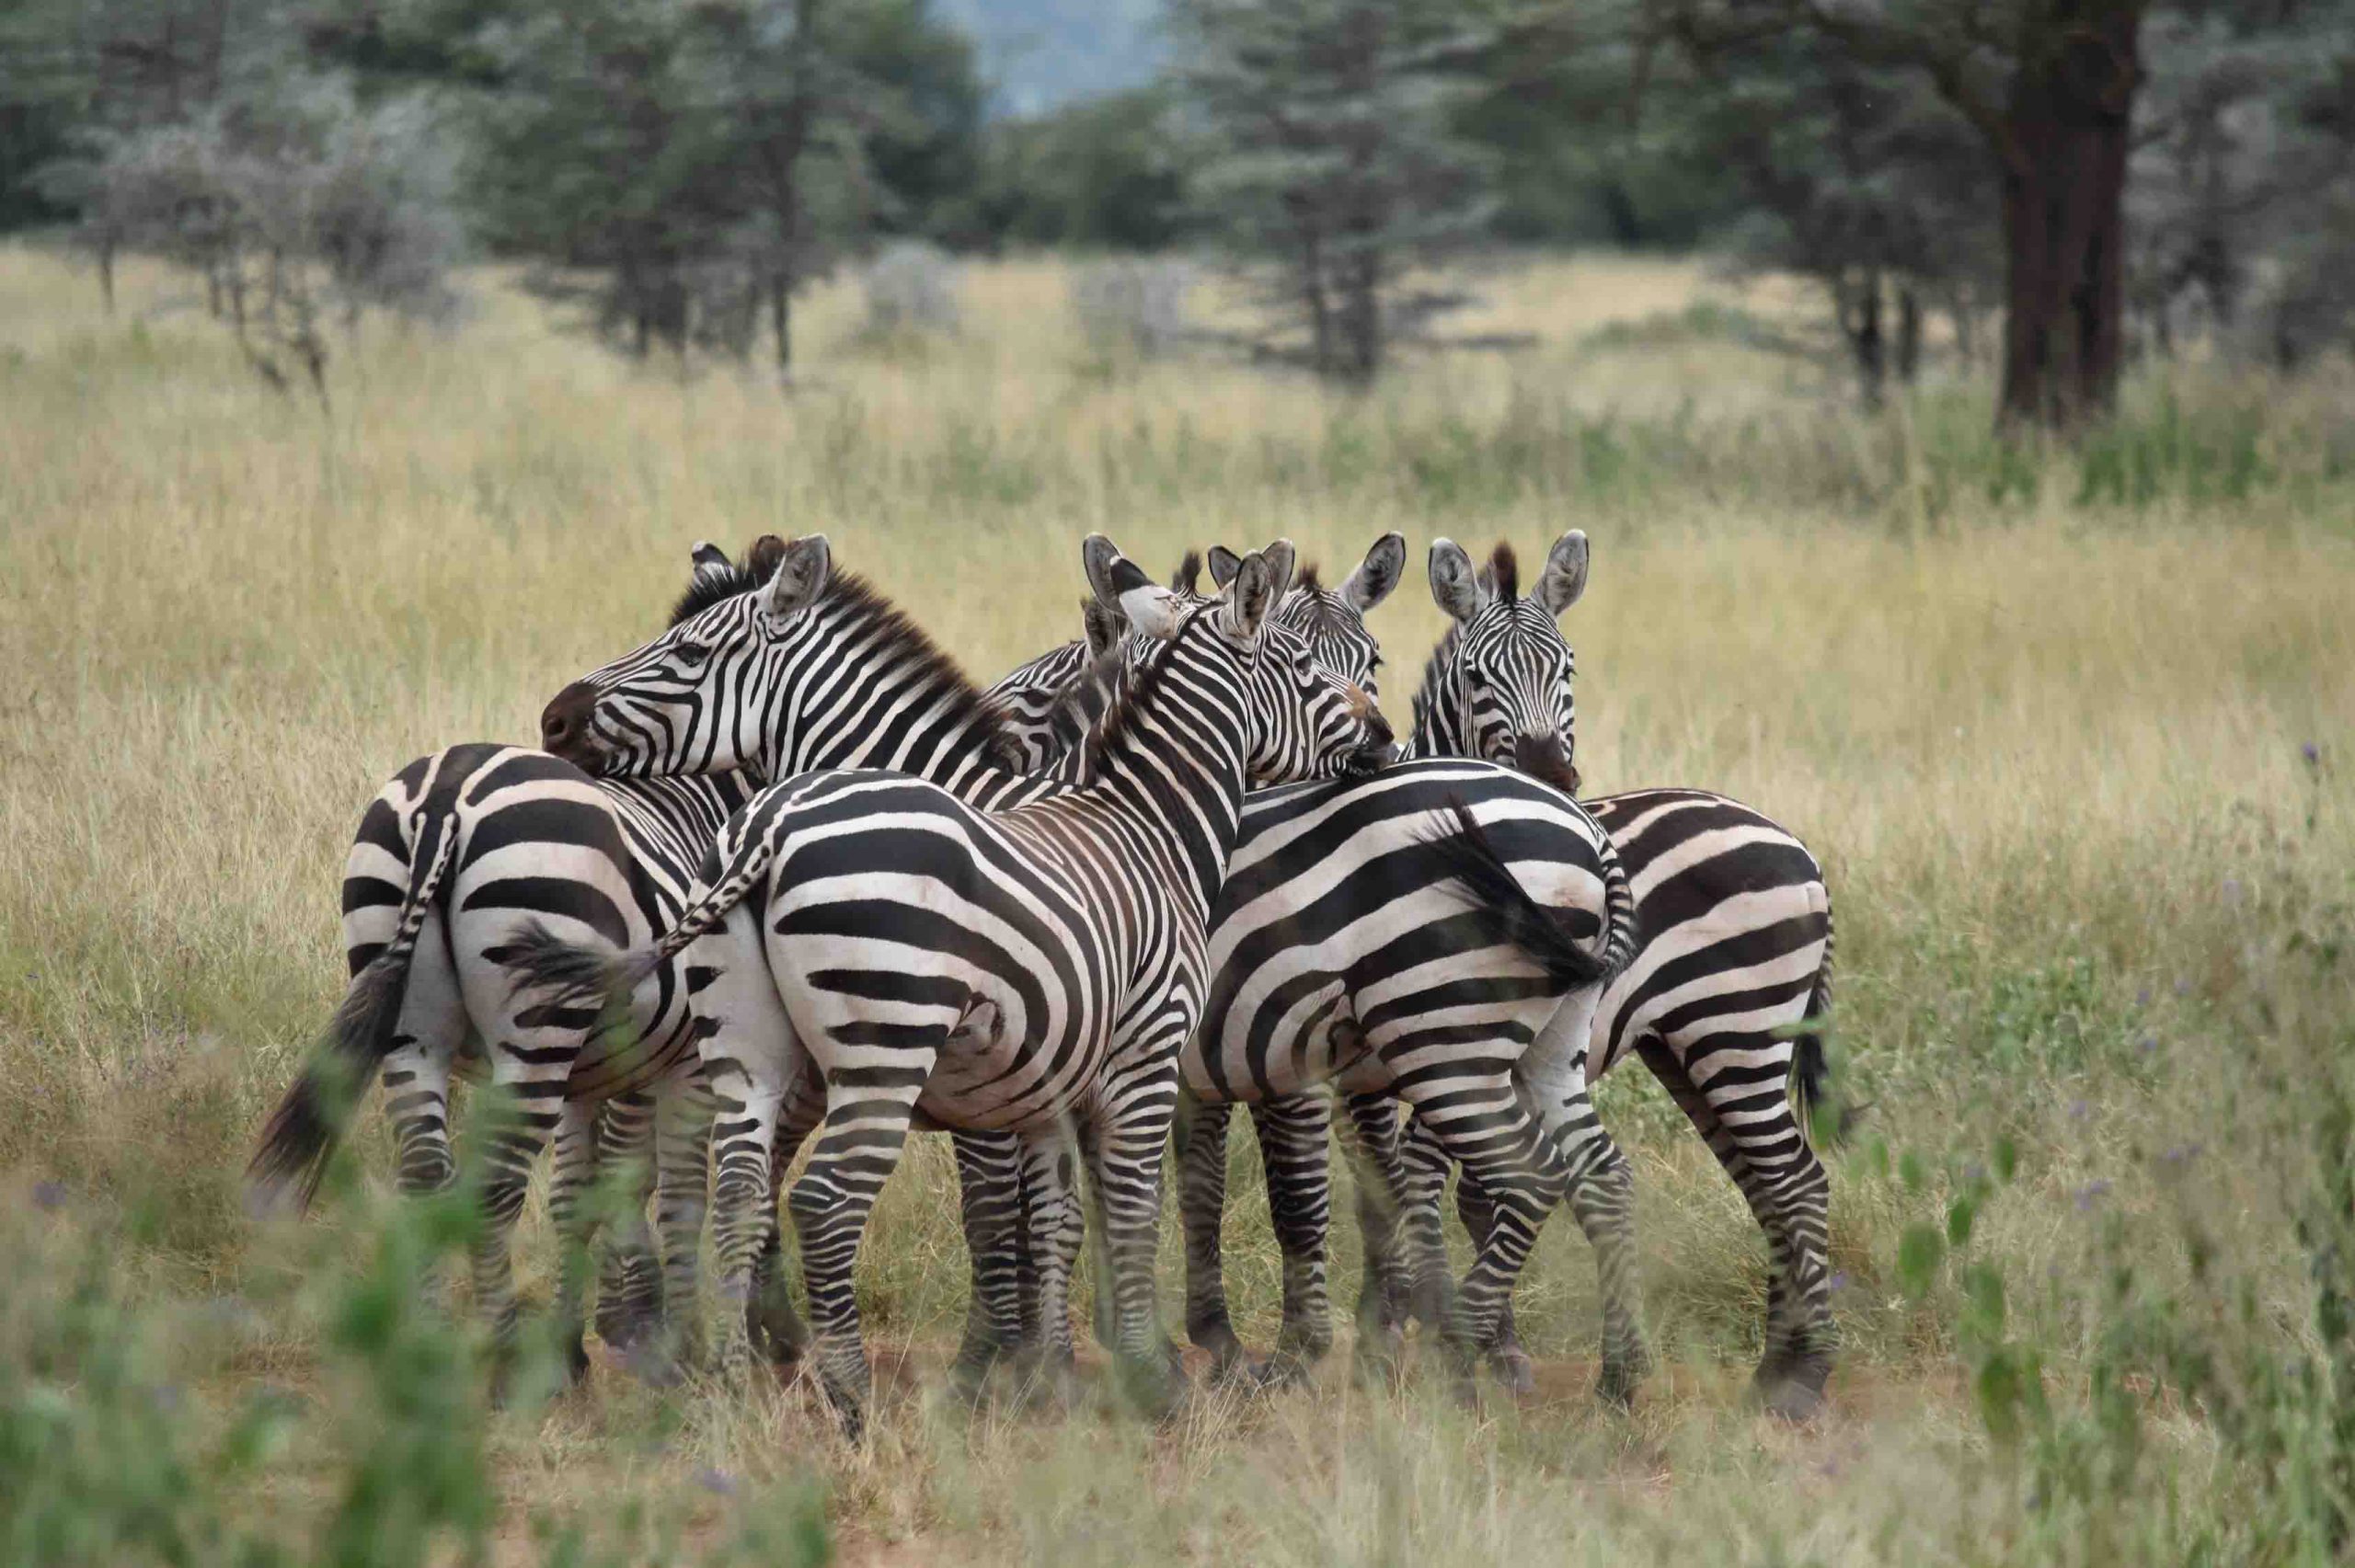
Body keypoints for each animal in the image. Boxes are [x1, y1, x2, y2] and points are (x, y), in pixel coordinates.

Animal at [502, 537, 1392, 1434]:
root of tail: (767, 831)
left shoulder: (1042, 1070)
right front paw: (1021, 1365)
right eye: (1306, 663)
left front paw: (1051, 1364)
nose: (1383, 738)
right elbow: (1038, 1211)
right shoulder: (1086, 1063)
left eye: (686, 649)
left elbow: (1058, 1214)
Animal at [1176, 532, 1841, 1418]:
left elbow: (1415, 1190)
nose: (1551, 773)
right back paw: (1774, 1366)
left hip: (1735, 1027)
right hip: (1696, 1049)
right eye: (1476, 676)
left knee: (1794, 1178)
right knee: (1768, 1180)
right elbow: (1389, 1191)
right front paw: (1425, 1339)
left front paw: (1433, 1342)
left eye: (1568, 669)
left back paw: (1803, 1373)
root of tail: (1795, 846)